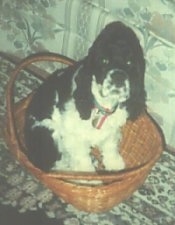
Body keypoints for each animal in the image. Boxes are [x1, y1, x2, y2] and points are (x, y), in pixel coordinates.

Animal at [24, 21, 145, 172]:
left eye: (130, 63)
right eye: (104, 60)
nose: (119, 77)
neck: (102, 107)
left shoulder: (111, 131)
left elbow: (110, 146)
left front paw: (115, 165)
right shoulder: (74, 137)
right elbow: (82, 160)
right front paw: (89, 175)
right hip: (48, 130)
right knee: (56, 163)